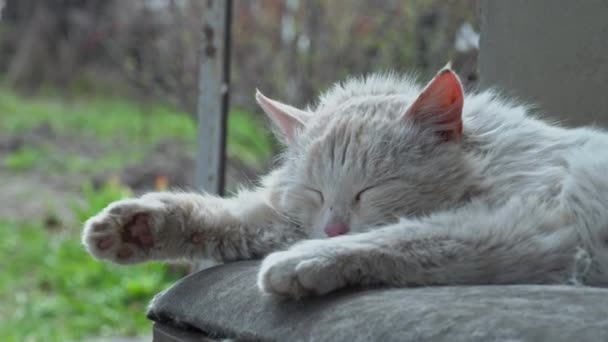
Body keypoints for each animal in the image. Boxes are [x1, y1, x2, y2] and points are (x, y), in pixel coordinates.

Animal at [81, 66, 608, 296]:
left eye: (370, 190)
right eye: (316, 193)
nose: (333, 228)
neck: (493, 160)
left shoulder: (543, 226)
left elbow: (412, 238)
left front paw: (304, 263)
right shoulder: (290, 217)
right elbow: (231, 216)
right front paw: (135, 226)